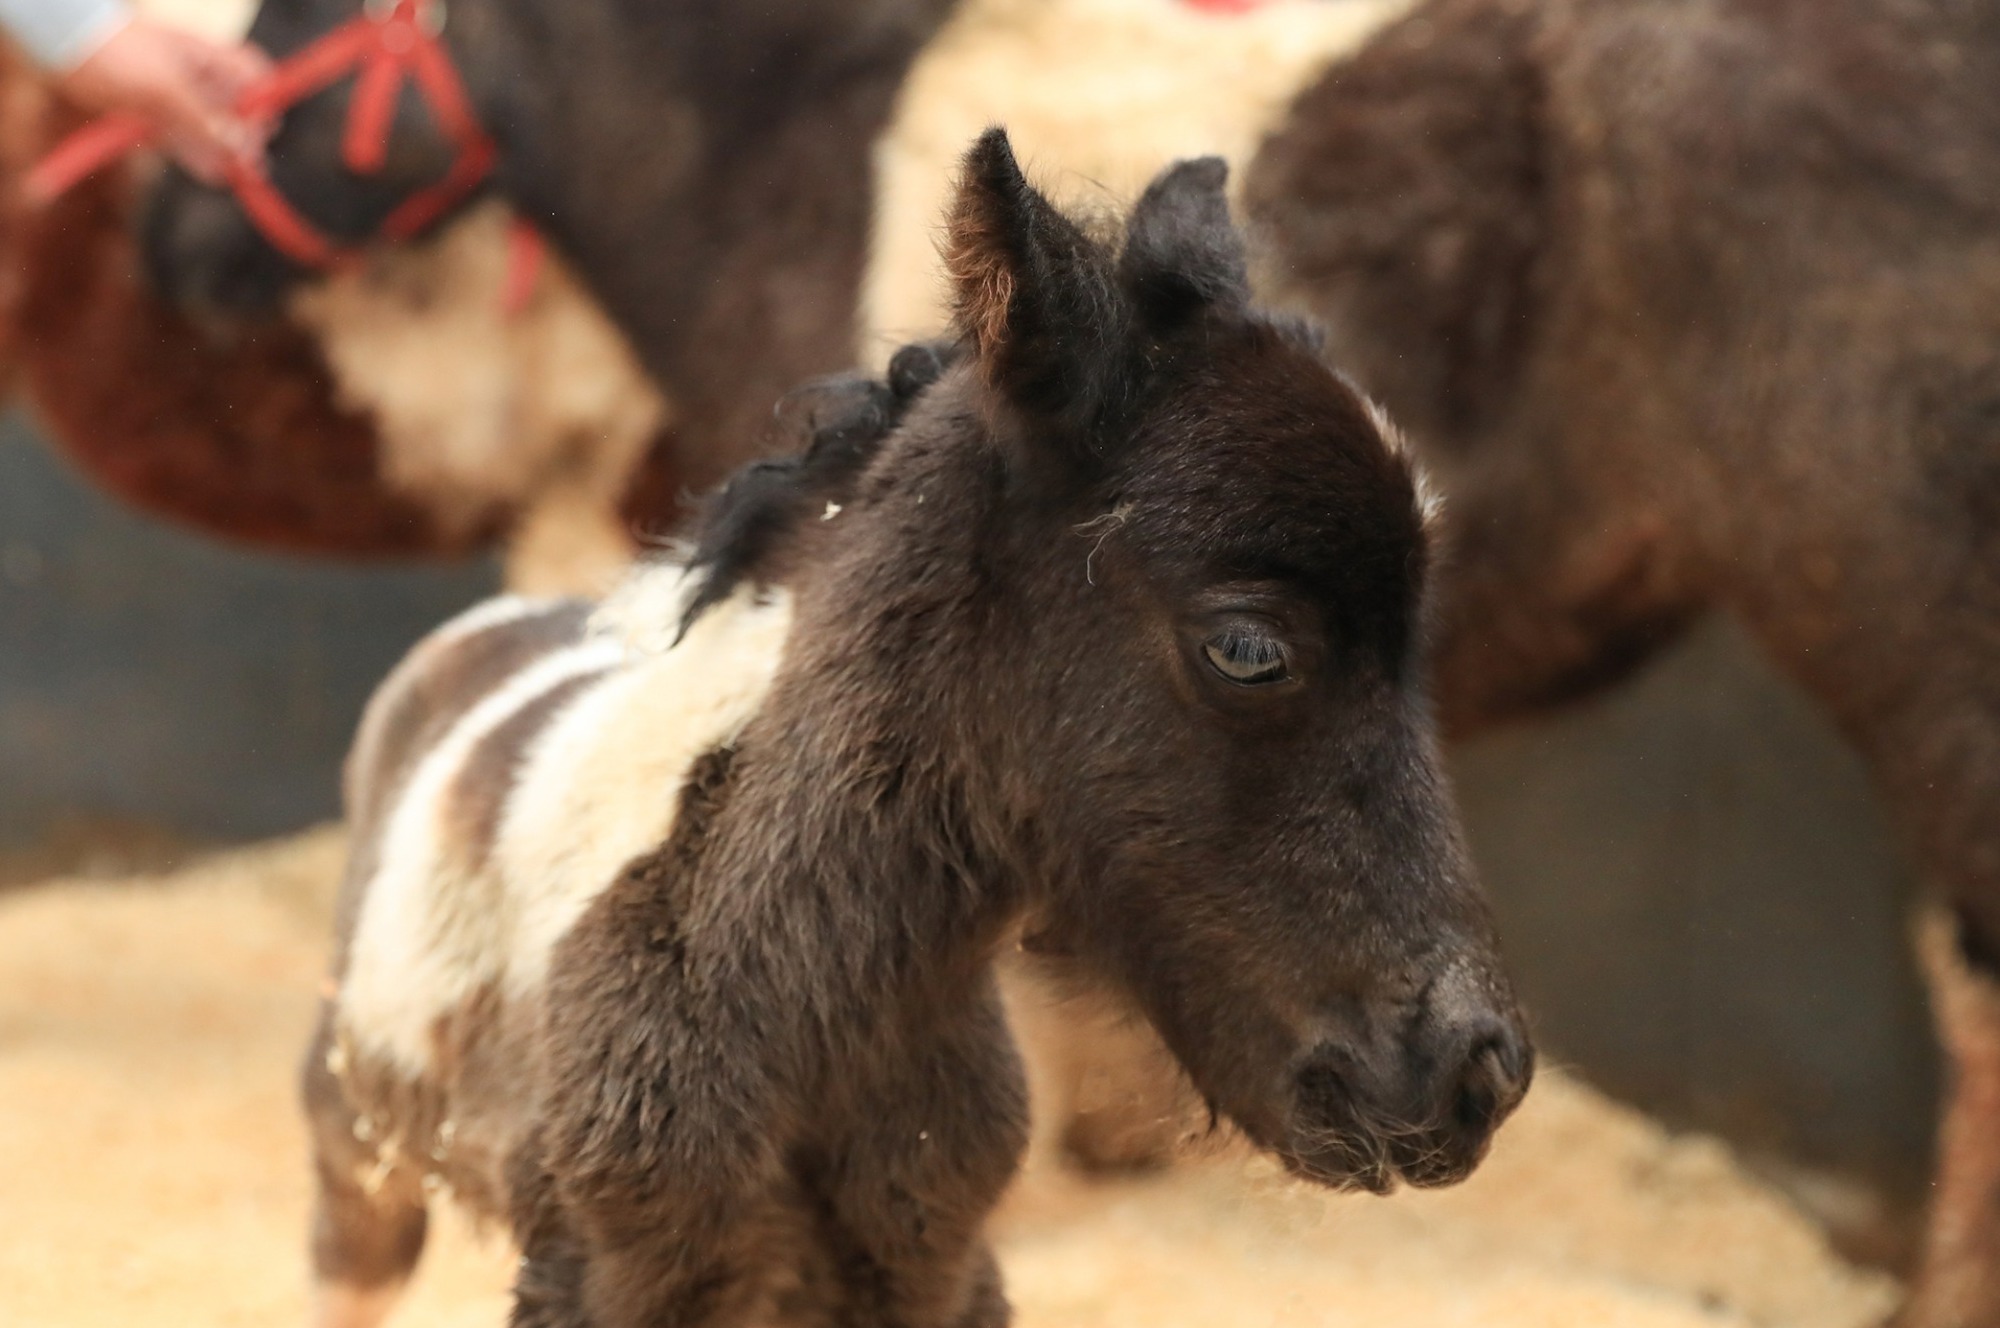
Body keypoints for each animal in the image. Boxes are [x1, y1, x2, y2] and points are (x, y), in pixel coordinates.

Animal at [308, 135, 1528, 1328]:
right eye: (1246, 647)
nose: (1474, 1074)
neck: (805, 1018)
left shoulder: (935, 1269)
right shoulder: (597, 1276)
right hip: (356, 1161)